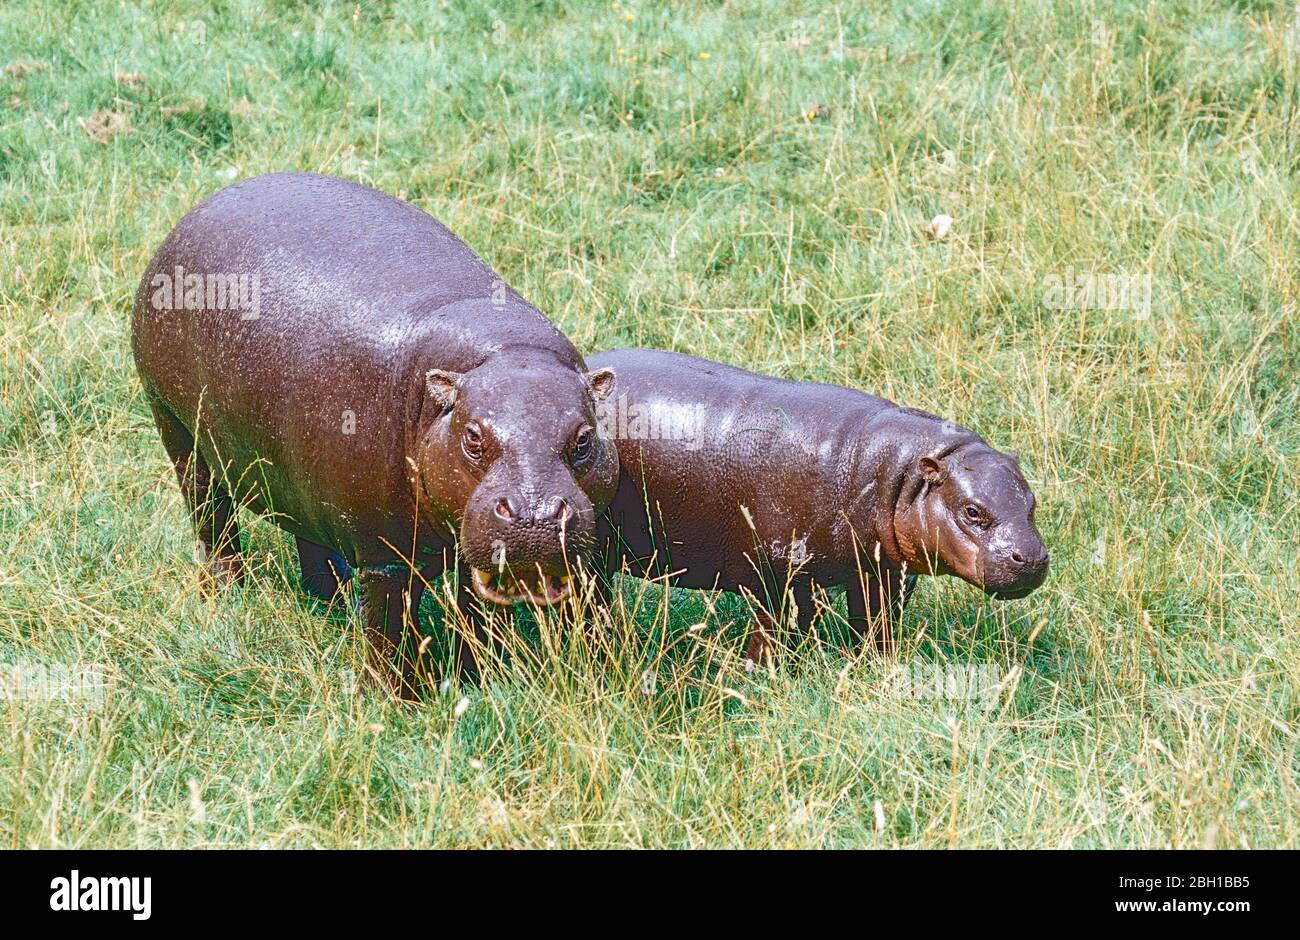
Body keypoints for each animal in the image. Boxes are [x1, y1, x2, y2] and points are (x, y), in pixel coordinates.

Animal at [131, 172, 618, 696]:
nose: (535, 515)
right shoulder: (384, 555)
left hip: (296, 473)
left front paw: (475, 682)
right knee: (210, 515)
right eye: (472, 437)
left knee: (309, 537)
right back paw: (227, 593)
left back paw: (329, 600)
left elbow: (478, 621)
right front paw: (397, 698)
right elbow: (388, 630)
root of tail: (190, 216)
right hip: (175, 427)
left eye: (584, 438)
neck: (505, 355)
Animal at [595, 348, 1050, 663]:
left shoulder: (883, 573)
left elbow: (875, 624)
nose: (1030, 558)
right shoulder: (776, 573)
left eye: (1031, 501)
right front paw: (761, 673)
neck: (902, 475)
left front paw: (877, 666)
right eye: (972, 511)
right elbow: (775, 631)